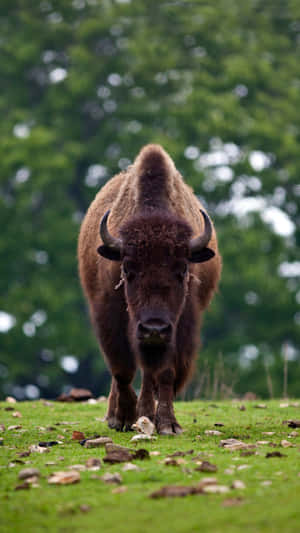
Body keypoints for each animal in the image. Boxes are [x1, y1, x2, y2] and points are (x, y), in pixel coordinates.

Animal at [78, 144, 221, 432]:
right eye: (128, 269)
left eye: (182, 270)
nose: (154, 329)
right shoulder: (109, 317)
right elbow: (122, 369)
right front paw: (123, 417)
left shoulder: (179, 327)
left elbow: (164, 373)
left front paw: (167, 423)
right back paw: (118, 416)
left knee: (149, 375)